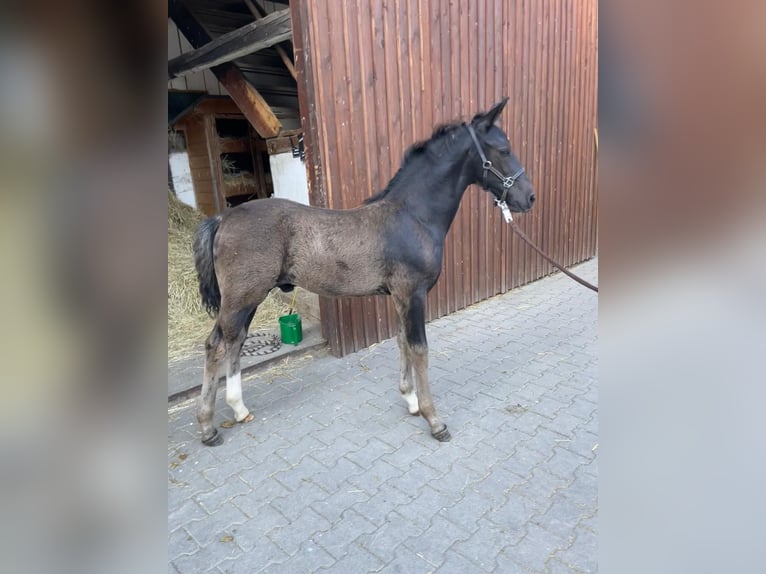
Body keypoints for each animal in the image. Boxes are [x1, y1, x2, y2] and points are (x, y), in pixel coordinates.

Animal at [195, 99, 536, 448]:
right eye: (503, 149)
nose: (529, 197)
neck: (413, 216)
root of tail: (222, 218)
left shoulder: (399, 297)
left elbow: (402, 341)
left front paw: (410, 400)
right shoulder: (412, 294)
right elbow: (419, 348)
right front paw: (434, 419)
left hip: (248, 299)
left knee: (235, 341)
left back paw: (238, 409)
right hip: (242, 297)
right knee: (216, 345)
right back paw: (208, 428)